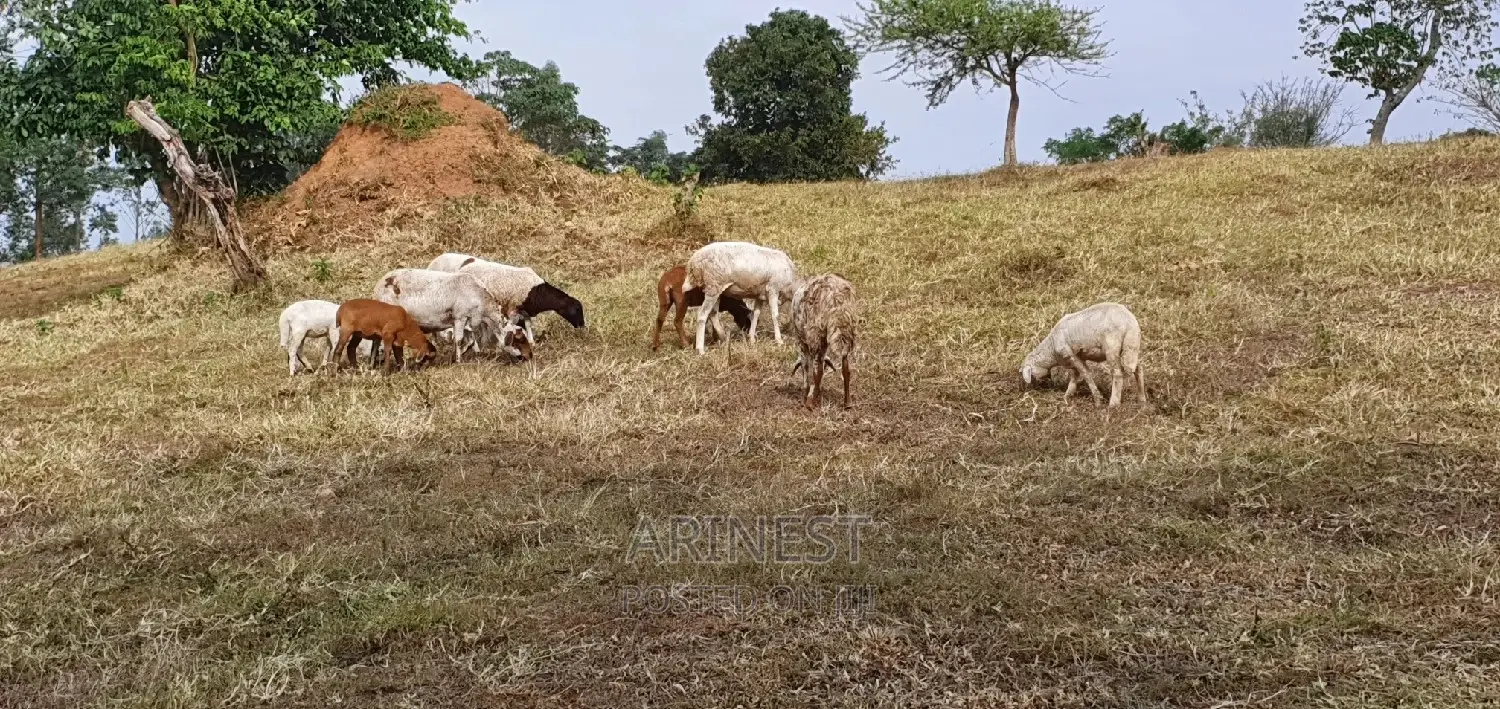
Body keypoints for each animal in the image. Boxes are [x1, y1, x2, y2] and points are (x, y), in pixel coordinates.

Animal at [789, 274, 857, 410]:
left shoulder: (802, 342)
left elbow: (806, 369)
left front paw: (805, 396)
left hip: (816, 332)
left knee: (817, 370)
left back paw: (810, 403)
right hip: (845, 331)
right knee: (845, 366)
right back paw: (847, 402)